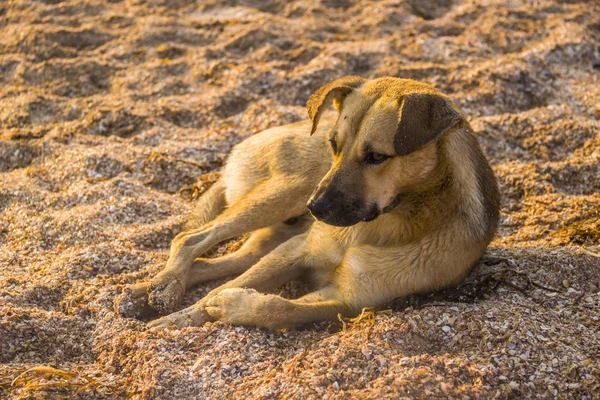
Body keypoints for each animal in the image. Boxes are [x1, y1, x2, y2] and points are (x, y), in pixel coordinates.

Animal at [115, 76, 500, 330]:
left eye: (377, 156)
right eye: (333, 144)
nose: (316, 209)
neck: (385, 223)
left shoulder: (349, 298)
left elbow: (283, 310)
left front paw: (231, 307)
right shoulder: (297, 249)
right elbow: (221, 290)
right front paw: (180, 319)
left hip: (275, 227)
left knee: (212, 262)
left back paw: (149, 291)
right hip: (287, 192)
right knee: (190, 239)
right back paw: (159, 288)